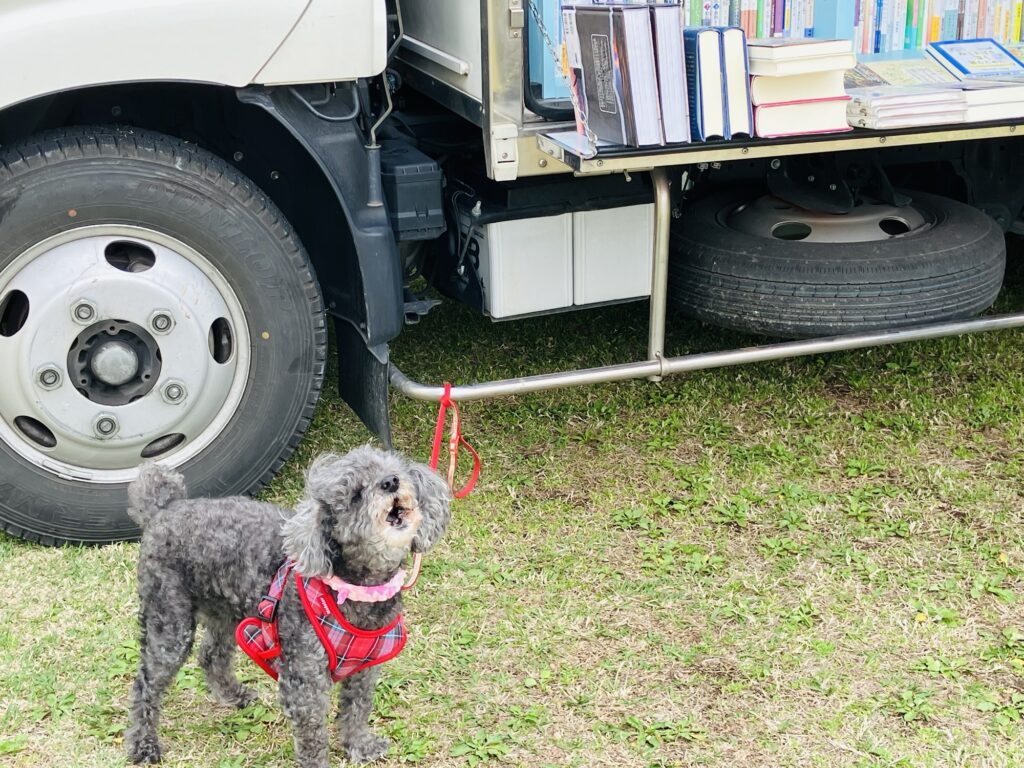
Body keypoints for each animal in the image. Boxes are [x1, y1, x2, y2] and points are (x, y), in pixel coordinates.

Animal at [124, 446, 451, 767]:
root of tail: (164, 509)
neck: (357, 591)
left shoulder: (364, 669)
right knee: (145, 682)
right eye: (356, 495)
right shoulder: (304, 680)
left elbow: (357, 709)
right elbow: (313, 738)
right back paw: (143, 744)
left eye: (394, 471)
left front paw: (360, 746)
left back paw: (233, 695)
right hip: (169, 620)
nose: (391, 482)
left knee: (211, 655)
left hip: (224, 611)